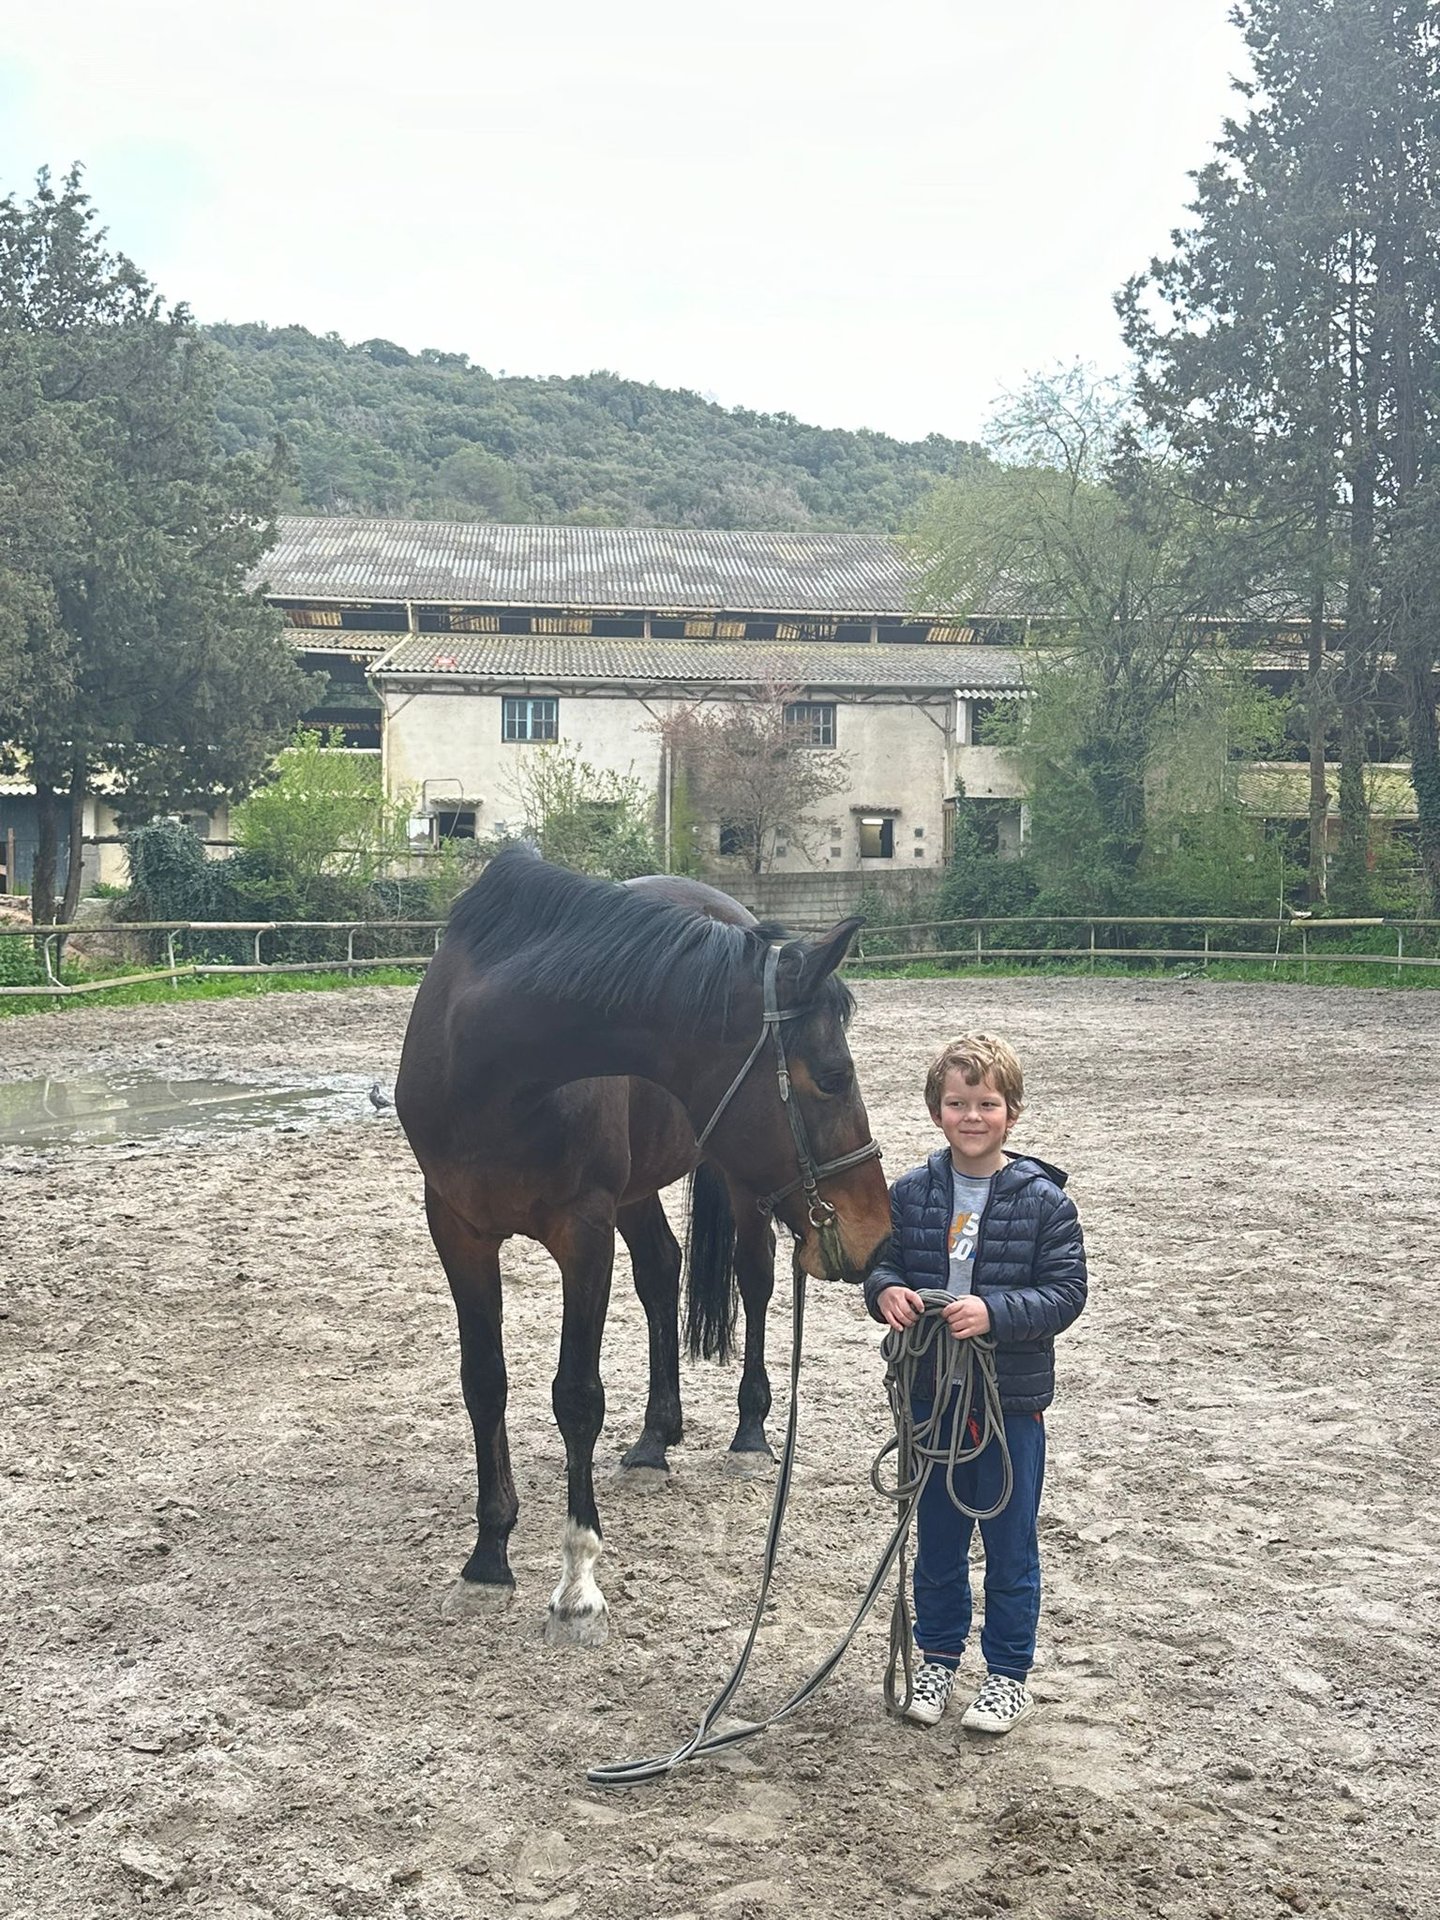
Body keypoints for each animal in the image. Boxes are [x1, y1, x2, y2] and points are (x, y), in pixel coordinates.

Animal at [394, 845, 891, 1645]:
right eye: (833, 1076)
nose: (876, 1230)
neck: (491, 1065)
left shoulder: (584, 1232)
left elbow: (576, 1395)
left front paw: (576, 1584)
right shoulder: (457, 1231)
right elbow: (484, 1383)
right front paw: (489, 1555)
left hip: (736, 1184)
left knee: (753, 1279)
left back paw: (751, 1432)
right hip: (638, 1193)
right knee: (662, 1272)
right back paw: (656, 1439)